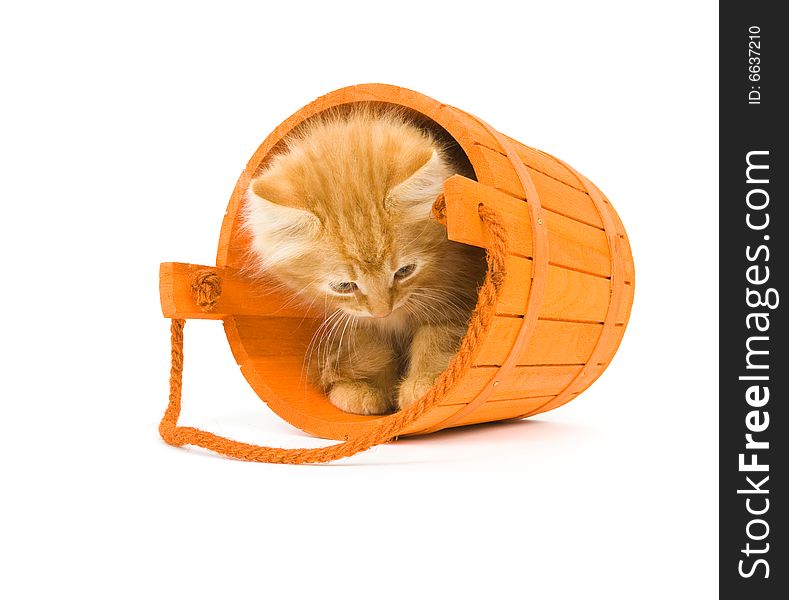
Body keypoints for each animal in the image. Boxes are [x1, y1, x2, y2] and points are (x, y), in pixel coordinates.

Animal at [243, 105, 486, 414]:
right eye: (345, 286)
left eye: (405, 271)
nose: (383, 311)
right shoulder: (352, 317)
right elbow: (368, 347)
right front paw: (362, 386)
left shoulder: (458, 292)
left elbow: (440, 337)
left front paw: (427, 383)